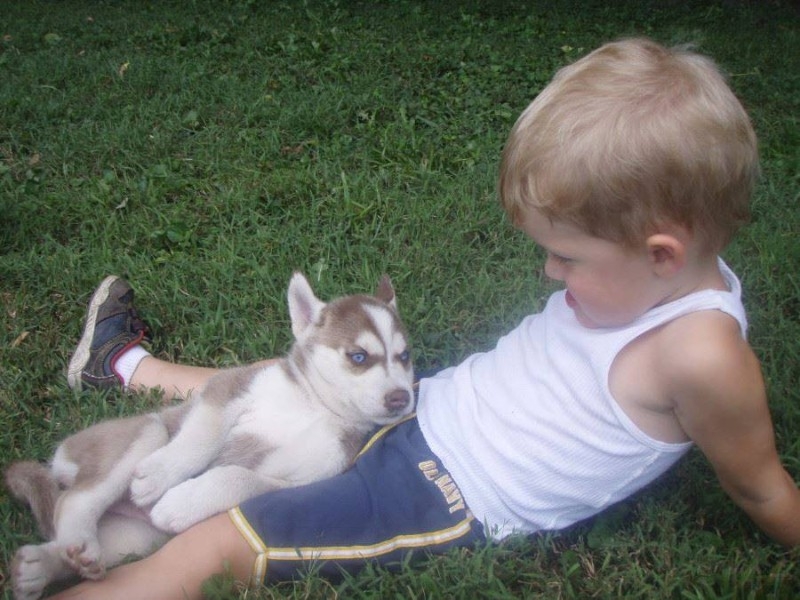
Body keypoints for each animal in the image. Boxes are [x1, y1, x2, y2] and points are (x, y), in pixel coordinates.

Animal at [6, 274, 416, 600]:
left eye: (404, 356)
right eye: (358, 356)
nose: (402, 397)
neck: (316, 406)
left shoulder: (309, 478)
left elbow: (240, 477)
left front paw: (182, 503)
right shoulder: (228, 388)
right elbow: (201, 439)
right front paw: (162, 477)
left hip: (136, 538)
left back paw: (44, 566)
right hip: (146, 431)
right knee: (73, 500)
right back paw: (79, 541)